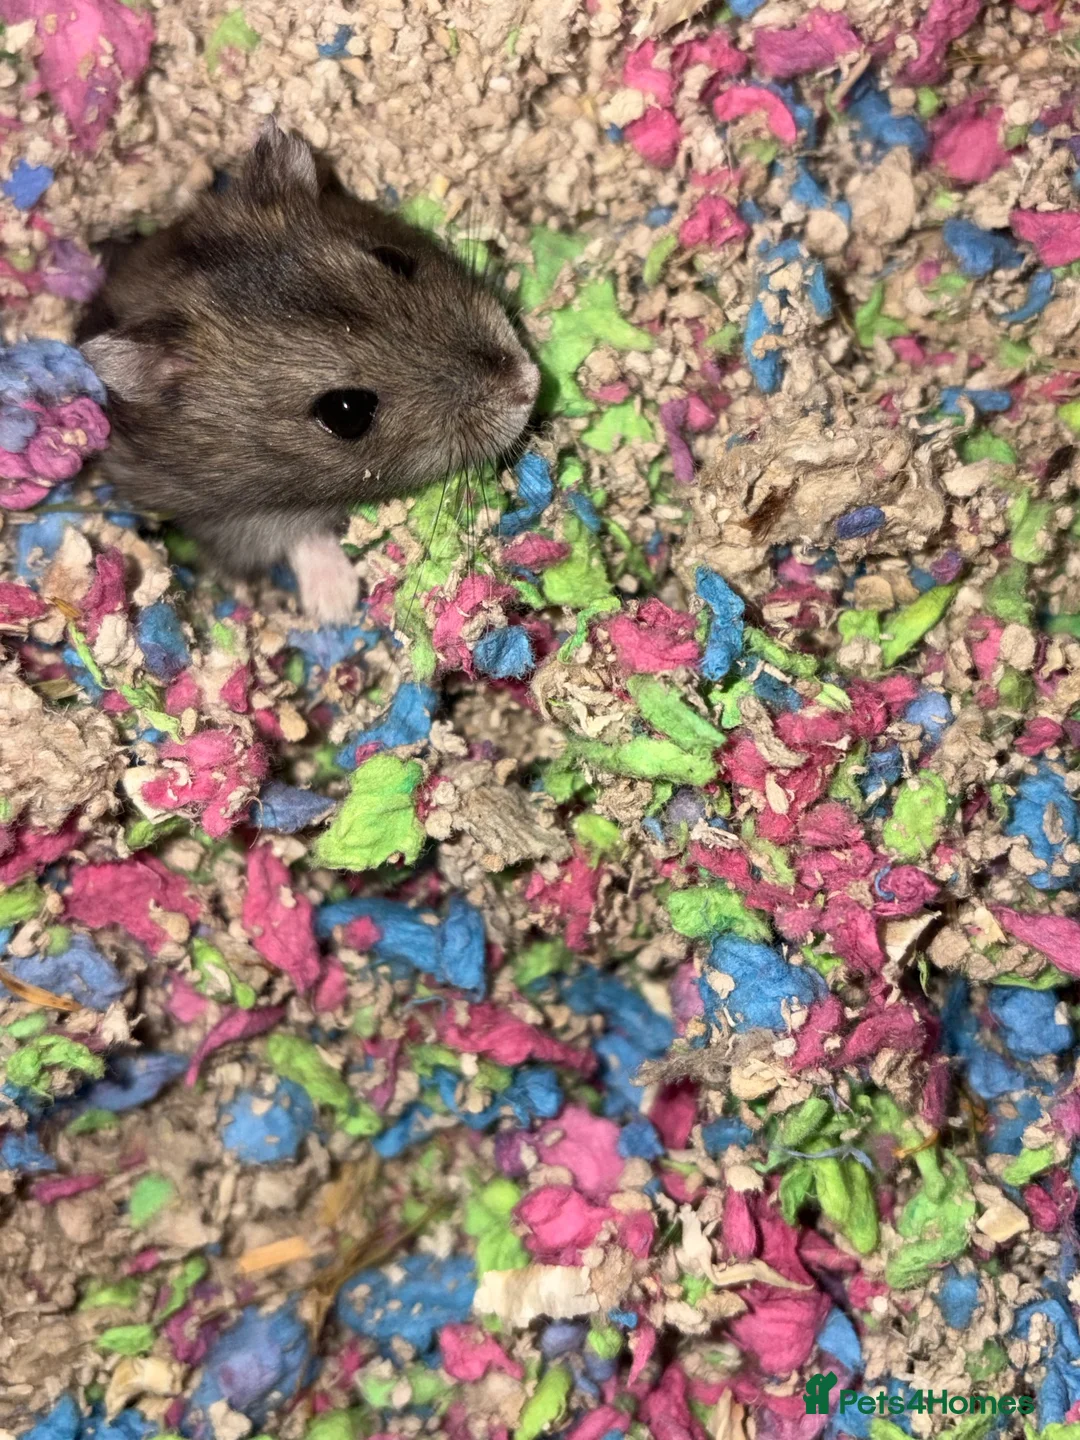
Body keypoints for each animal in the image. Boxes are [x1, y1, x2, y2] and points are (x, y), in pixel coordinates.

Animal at [76, 119, 540, 623]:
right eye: (346, 412)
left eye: (394, 258)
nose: (531, 383)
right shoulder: (225, 519)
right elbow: (298, 537)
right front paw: (338, 605)